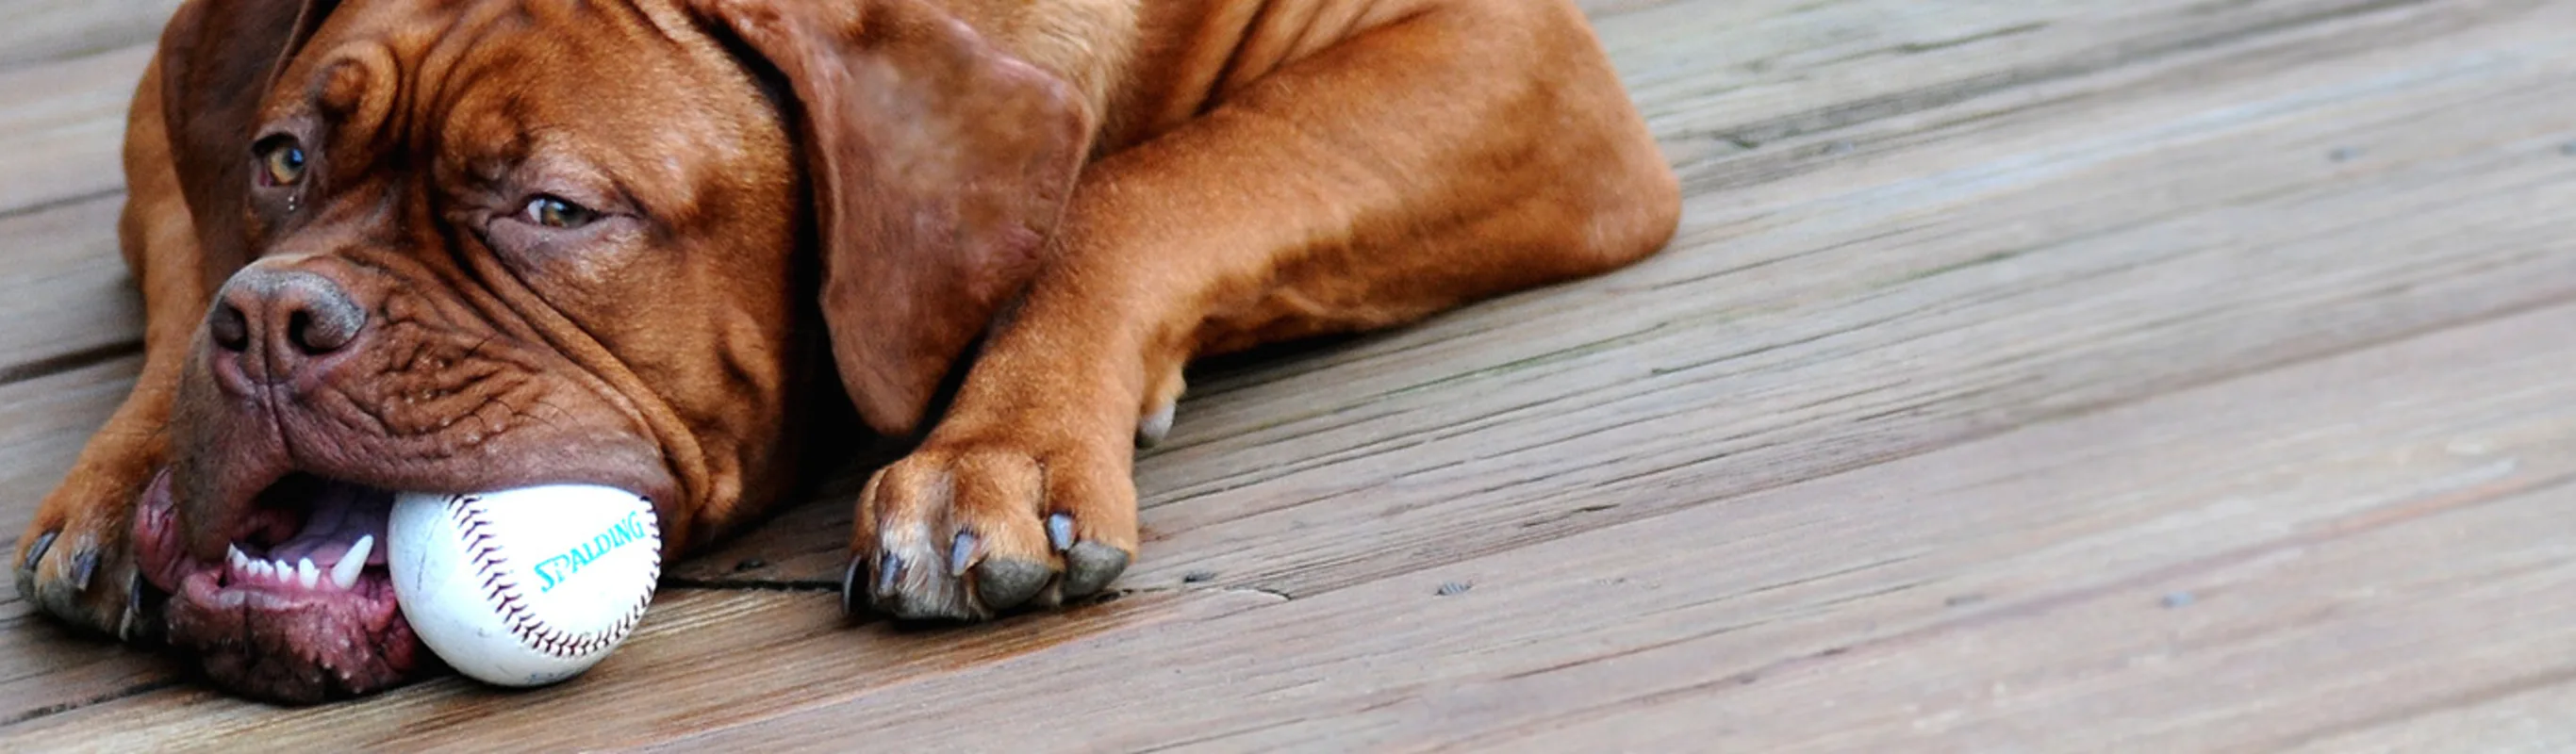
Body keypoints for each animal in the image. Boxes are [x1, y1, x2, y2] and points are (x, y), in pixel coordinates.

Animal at [9, 0, 1679, 699]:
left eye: (554, 206)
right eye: (286, 157)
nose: (279, 323)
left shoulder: (1510, 54)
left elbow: (1141, 187)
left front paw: (994, 453)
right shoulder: (173, 101)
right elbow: (191, 241)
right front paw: (139, 469)